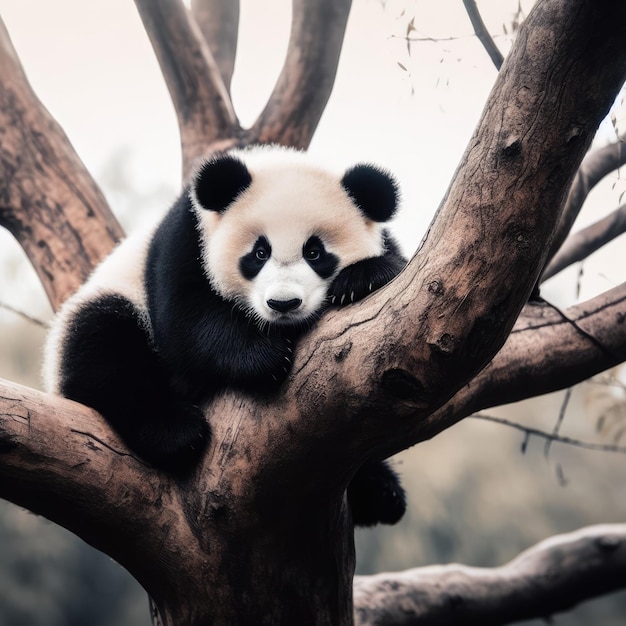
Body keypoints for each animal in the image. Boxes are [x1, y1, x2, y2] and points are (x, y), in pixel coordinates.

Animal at [42, 144, 404, 524]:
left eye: (315, 252)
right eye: (259, 253)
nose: (283, 303)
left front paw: (363, 277)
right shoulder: (186, 240)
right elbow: (187, 320)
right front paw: (265, 358)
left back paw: (380, 492)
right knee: (105, 347)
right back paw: (176, 431)